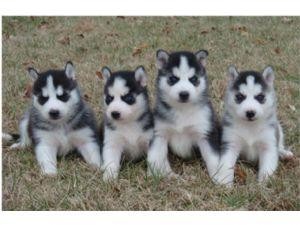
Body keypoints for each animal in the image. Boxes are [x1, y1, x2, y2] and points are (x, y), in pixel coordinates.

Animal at [147, 49, 220, 179]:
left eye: (193, 79)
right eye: (173, 79)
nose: (184, 94)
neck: (182, 110)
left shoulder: (205, 133)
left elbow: (213, 159)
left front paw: (221, 179)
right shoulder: (159, 133)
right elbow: (155, 156)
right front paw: (152, 175)